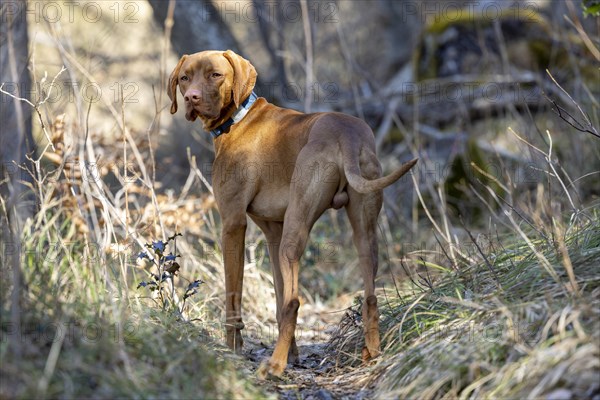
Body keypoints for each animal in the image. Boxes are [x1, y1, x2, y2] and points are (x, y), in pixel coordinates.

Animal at [166, 50, 414, 378]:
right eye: (185, 77)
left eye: (215, 75)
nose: (191, 97)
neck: (239, 119)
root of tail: (346, 134)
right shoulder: (273, 233)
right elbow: (279, 297)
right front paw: (293, 353)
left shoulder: (233, 224)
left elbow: (235, 296)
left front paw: (233, 349)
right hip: (361, 229)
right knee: (369, 294)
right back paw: (370, 354)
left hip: (296, 228)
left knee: (295, 301)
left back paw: (273, 365)